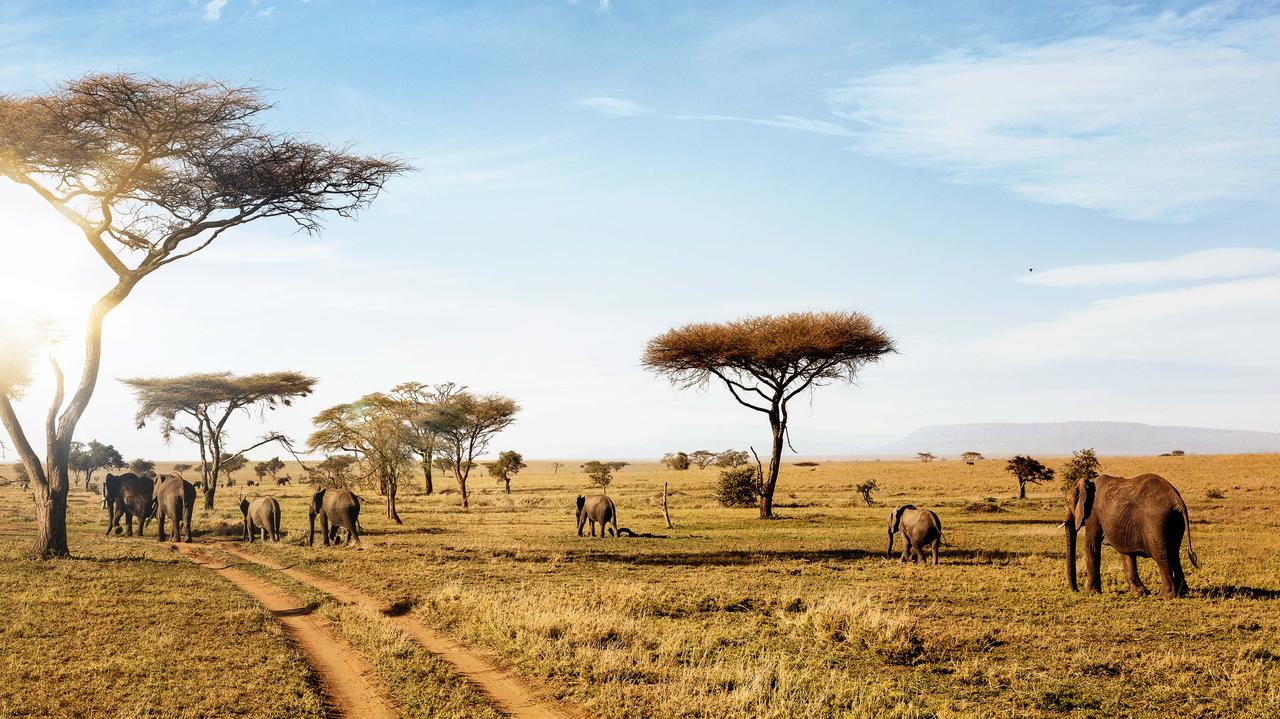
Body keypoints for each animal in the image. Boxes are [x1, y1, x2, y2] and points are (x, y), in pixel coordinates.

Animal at [1059, 473, 1198, 596]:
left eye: (1067, 501)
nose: (1076, 590)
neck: (1089, 481)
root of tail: (1178, 500)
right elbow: (1126, 553)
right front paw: (1140, 593)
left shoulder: (1093, 514)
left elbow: (1091, 546)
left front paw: (1090, 593)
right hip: (1175, 521)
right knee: (1174, 553)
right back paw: (1182, 592)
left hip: (1156, 523)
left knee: (1162, 555)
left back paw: (1165, 595)